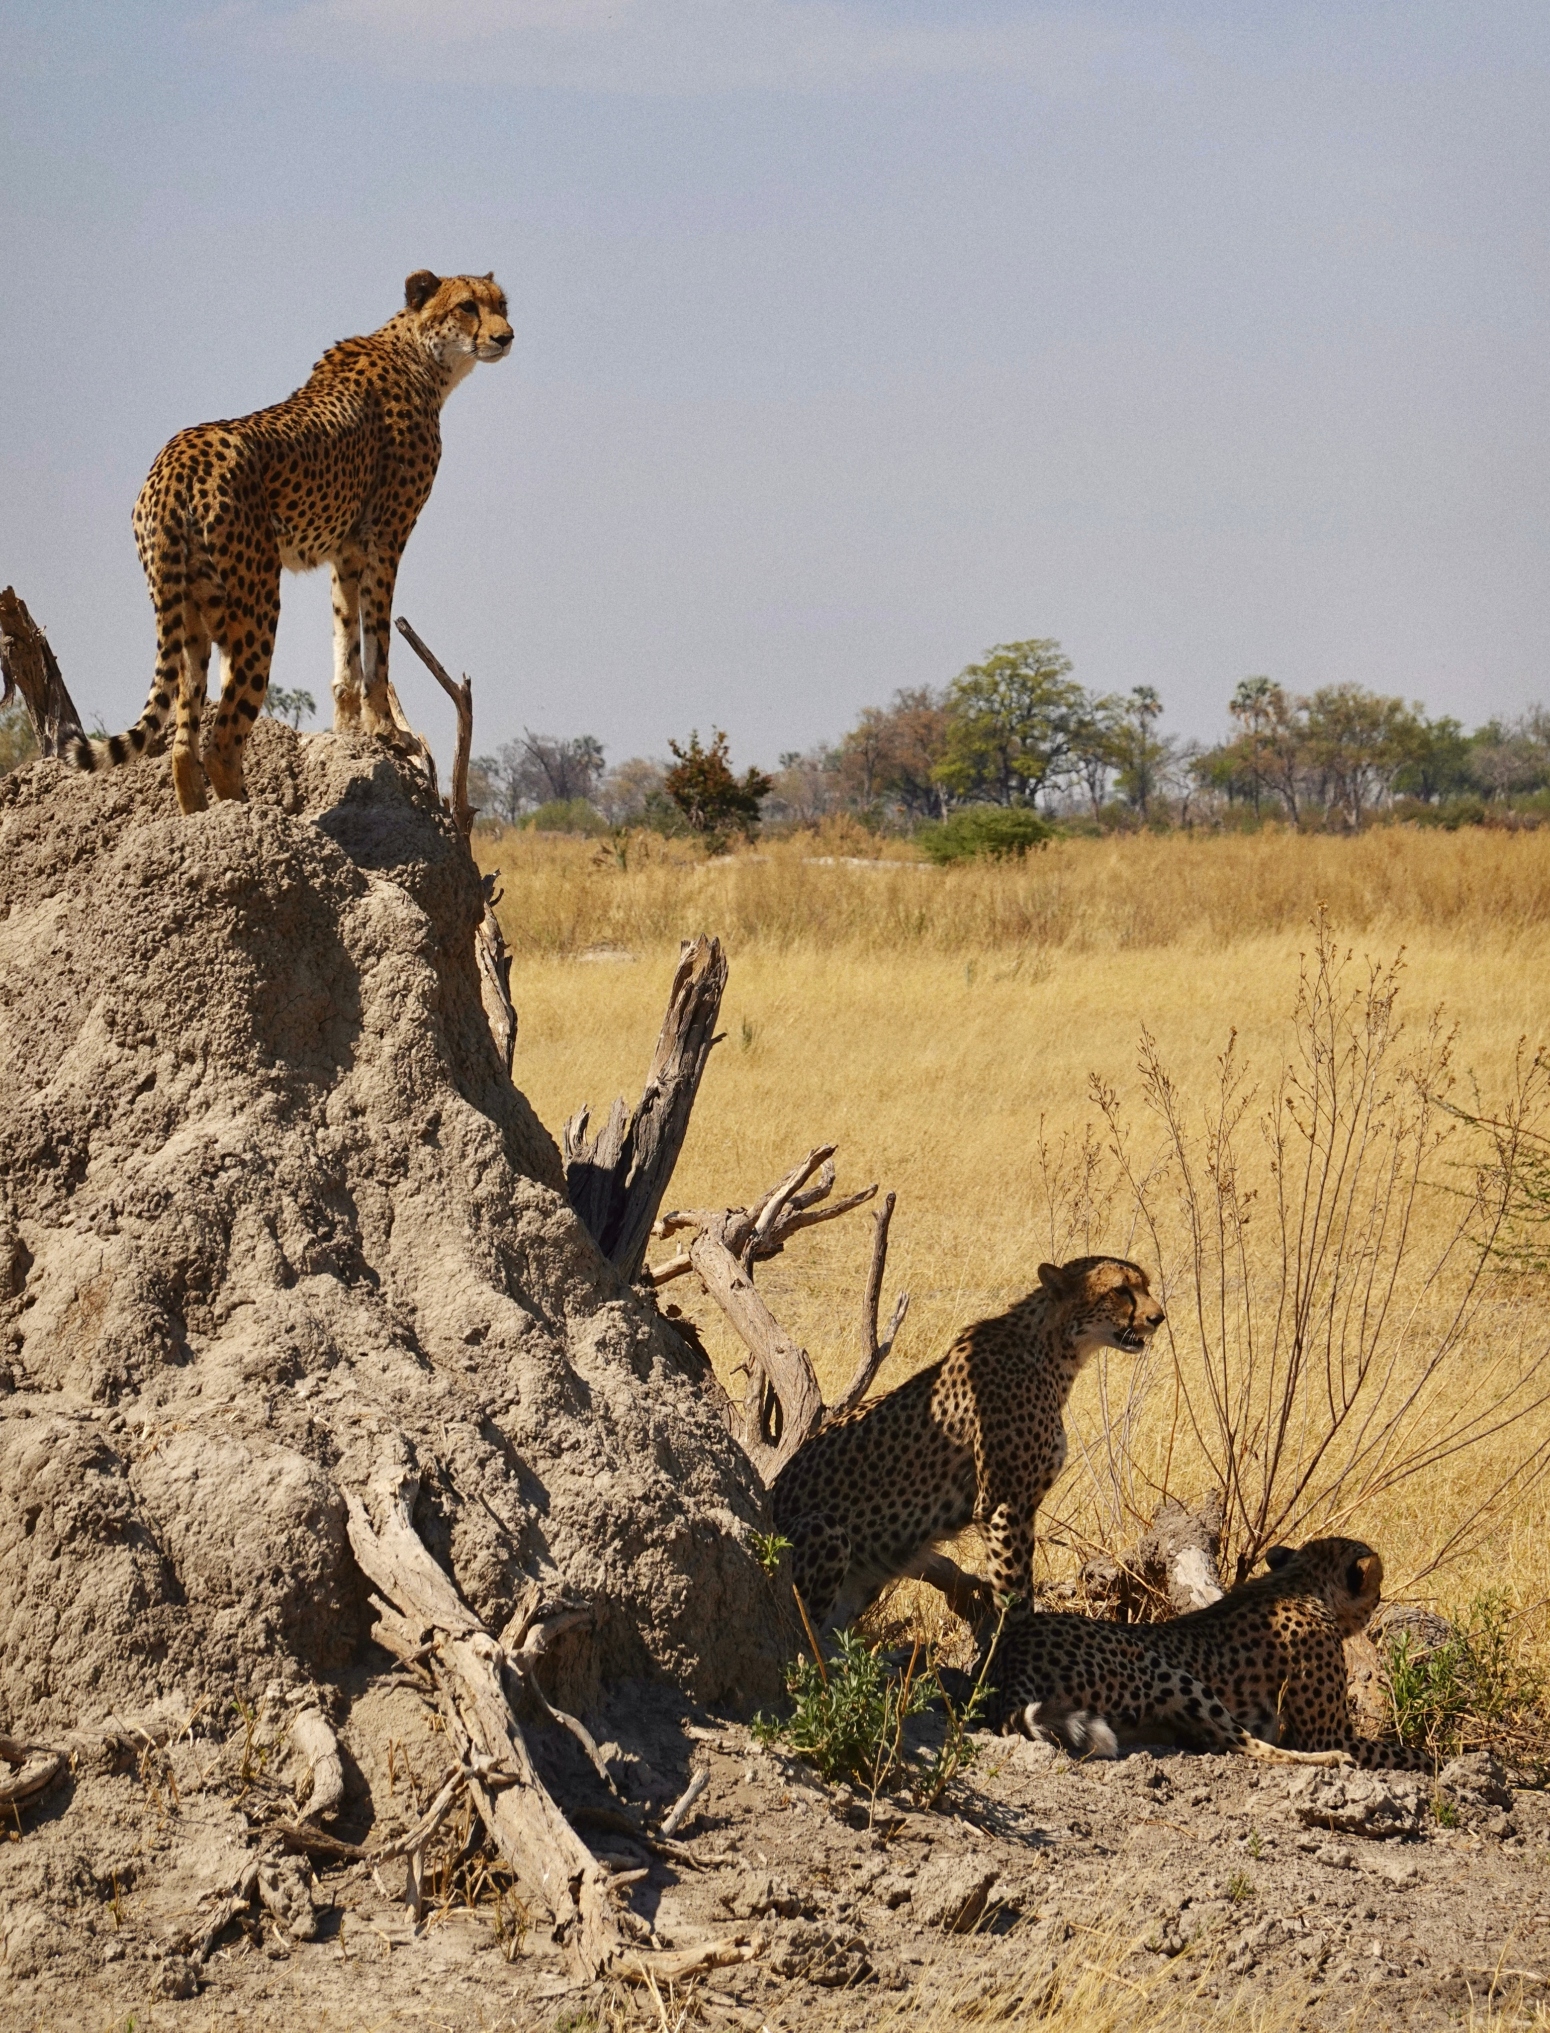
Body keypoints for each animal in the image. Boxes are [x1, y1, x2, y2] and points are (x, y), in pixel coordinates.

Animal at [69, 270, 512, 817]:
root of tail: (176, 457)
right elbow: (378, 645)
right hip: (256, 600)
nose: (505, 336)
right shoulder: (386, 538)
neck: (423, 357)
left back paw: (205, 817)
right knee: (221, 740)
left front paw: (348, 732)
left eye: (501, 304)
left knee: (182, 742)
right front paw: (388, 733)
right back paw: (252, 813)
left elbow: (347, 640)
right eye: (468, 306)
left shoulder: (346, 549)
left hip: (186, 609)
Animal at [772, 1252, 1155, 1634]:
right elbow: (1015, 1591)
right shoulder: (1003, 1505)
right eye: (1120, 1290)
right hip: (824, 1528)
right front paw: (1016, 1640)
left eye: (1146, 1285)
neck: (1053, 1349)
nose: (1158, 1317)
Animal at [988, 1536, 1423, 1764]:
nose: (1379, 1599)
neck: (1301, 1583)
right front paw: (1438, 1765)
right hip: (1166, 1672)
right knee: (1248, 1745)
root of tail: (1015, 1650)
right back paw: (1328, 1761)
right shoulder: (1331, 1733)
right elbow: (1408, 1754)